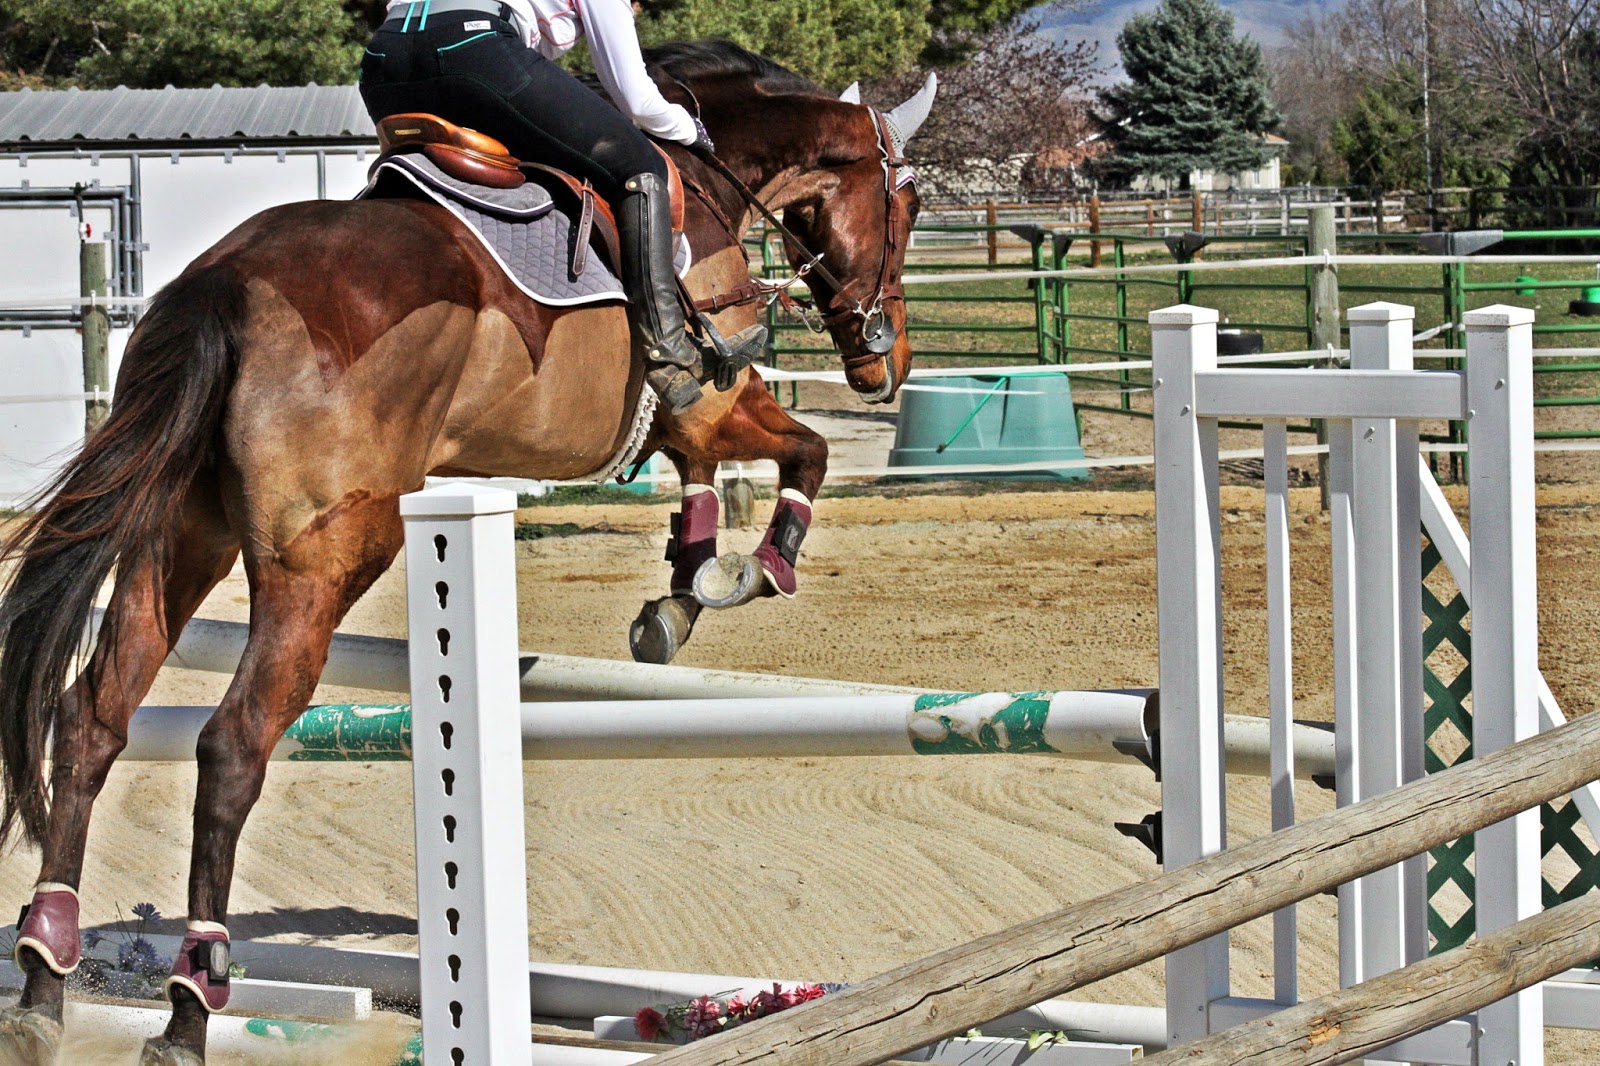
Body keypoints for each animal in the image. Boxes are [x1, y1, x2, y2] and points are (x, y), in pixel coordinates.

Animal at [0, 40, 928, 1064]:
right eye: (913, 204)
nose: (886, 364)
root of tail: (230, 283)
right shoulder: (717, 398)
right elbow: (809, 452)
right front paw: (753, 569)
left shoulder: (681, 419)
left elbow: (704, 482)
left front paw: (678, 597)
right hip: (323, 562)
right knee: (232, 745)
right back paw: (189, 1004)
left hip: (180, 536)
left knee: (93, 717)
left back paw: (44, 980)